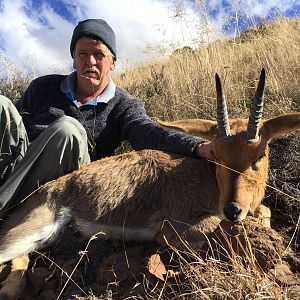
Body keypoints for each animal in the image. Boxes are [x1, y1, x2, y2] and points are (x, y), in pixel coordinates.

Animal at [0, 69, 300, 298]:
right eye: (217, 154)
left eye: (259, 154)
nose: (232, 210)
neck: (209, 178)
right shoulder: (173, 228)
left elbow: (264, 213)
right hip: (32, 229)